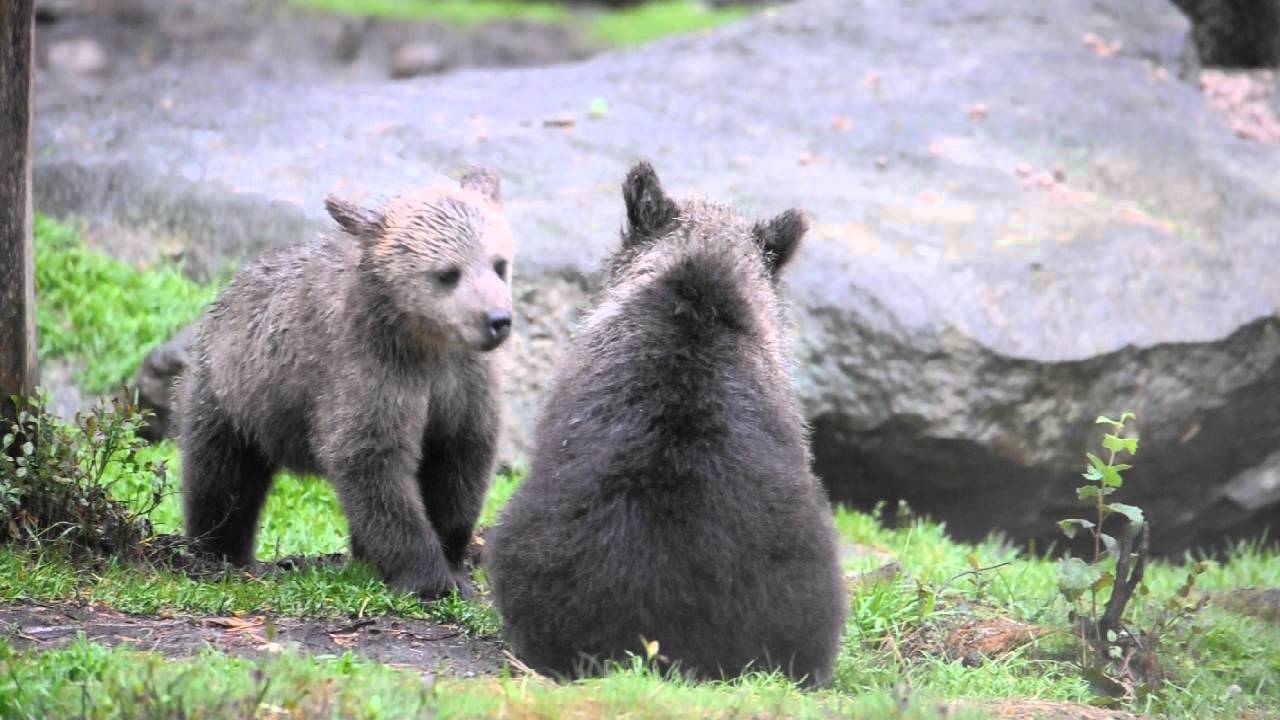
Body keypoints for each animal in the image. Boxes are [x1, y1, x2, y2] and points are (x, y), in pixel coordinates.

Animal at [176, 167, 513, 599]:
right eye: (447, 273)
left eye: (499, 264)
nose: (497, 319)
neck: (426, 344)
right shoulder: (369, 374)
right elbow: (372, 465)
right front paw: (428, 577)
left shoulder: (464, 387)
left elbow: (460, 467)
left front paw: (455, 566)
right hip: (233, 394)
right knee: (221, 479)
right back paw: (221, 553)